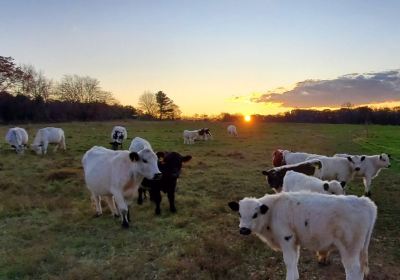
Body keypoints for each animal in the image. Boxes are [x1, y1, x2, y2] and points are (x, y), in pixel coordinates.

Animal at [230, 191, 376, 280]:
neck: (274, 209)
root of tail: (365, 202)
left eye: (255, 215)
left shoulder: (287, 238)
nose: (243, 229)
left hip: (350, 248)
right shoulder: (295, 242)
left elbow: (289, 262)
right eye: (239, 214)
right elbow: (295, 261)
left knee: (353, 270)